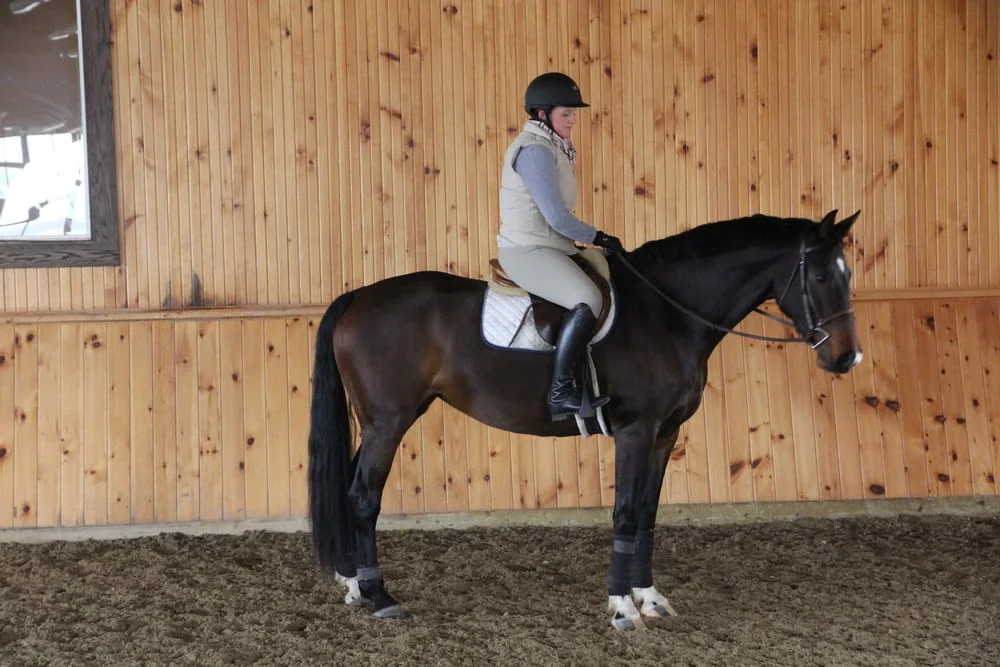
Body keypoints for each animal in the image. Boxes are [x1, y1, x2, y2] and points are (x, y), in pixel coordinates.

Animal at [307, 209, 863, 631]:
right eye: (819, 276)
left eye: (847, 275)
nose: (847, 358)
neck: (666, 314)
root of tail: (359, 295)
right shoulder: (636, 432)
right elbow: (625, 513)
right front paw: (621, 610)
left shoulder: (665, 434)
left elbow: (647, 515)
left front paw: (649, 598)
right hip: (388, 422)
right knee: (363, 497)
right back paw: (379, 596)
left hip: (381, 421)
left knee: (350, 488)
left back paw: (353, 584)